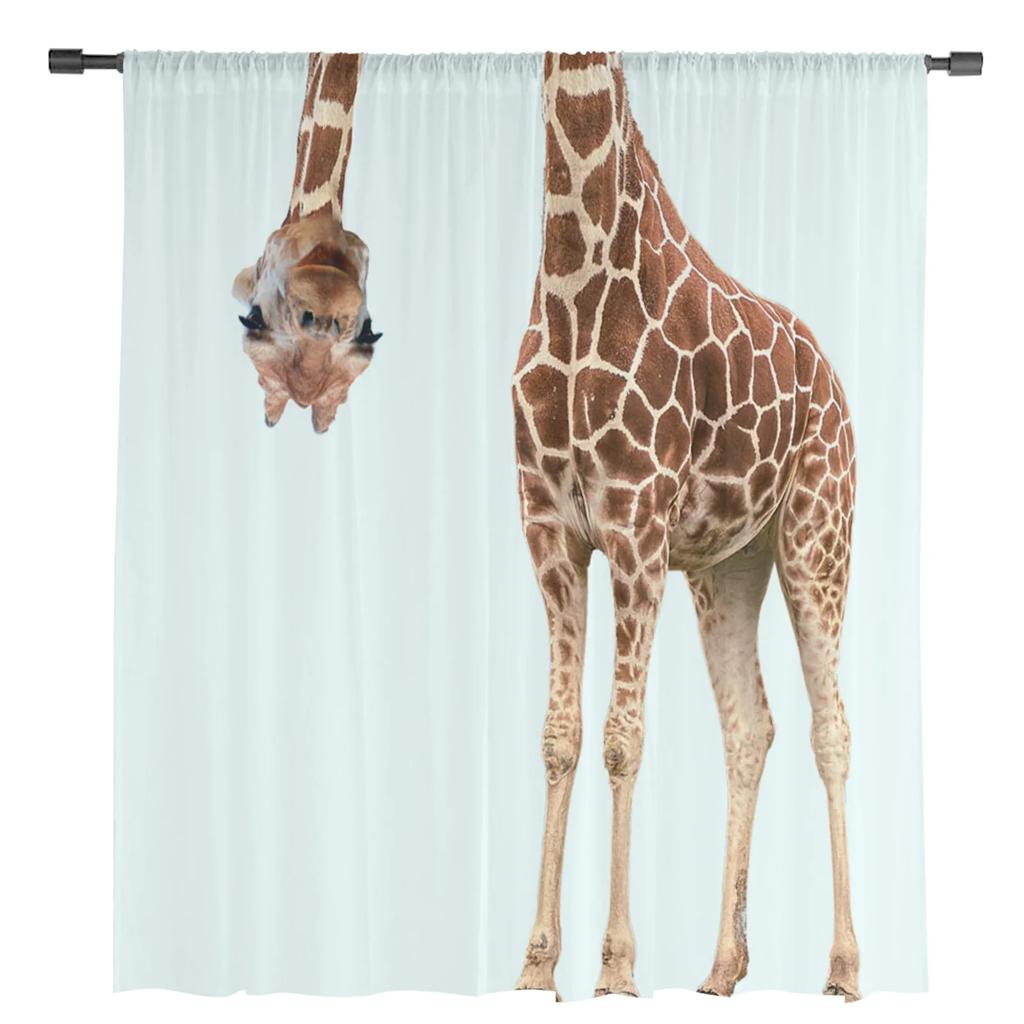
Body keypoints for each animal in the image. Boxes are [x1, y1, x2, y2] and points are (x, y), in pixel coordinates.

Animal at [513, 53, 859, 1002]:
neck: (574, 274)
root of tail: (834, 378)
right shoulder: (549, 530)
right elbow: (560, 735)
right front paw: (535, 965)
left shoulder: (633, 523)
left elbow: (623, 739)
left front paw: (616, 969)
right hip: (725, 568)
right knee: (751, 727)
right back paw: (721, 969)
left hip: (819, 539)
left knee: (831, 729)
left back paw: (844, 970)